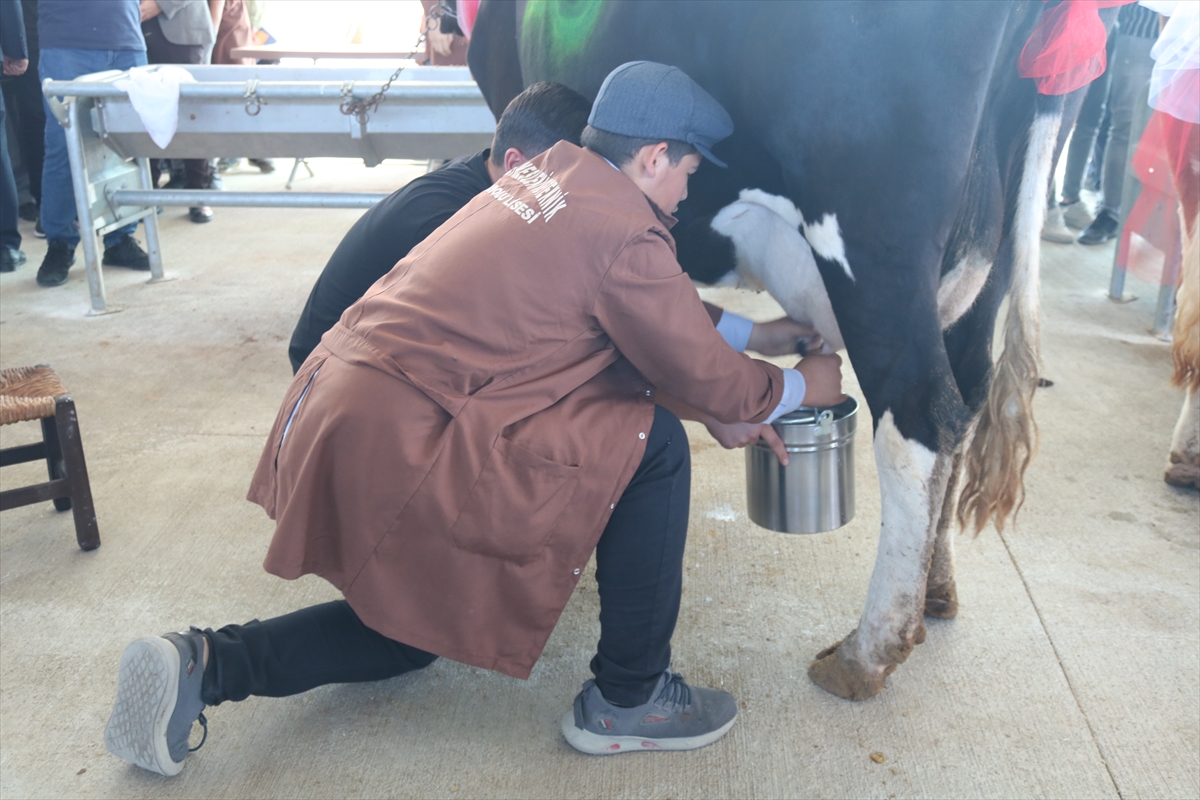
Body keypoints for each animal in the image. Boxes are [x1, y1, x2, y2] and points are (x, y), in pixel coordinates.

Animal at [466, 0, 1115, 700]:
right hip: (991, 257)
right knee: (968, 396)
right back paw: (935, 591)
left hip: (876, 247)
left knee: (921, 417)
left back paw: (867, 651)